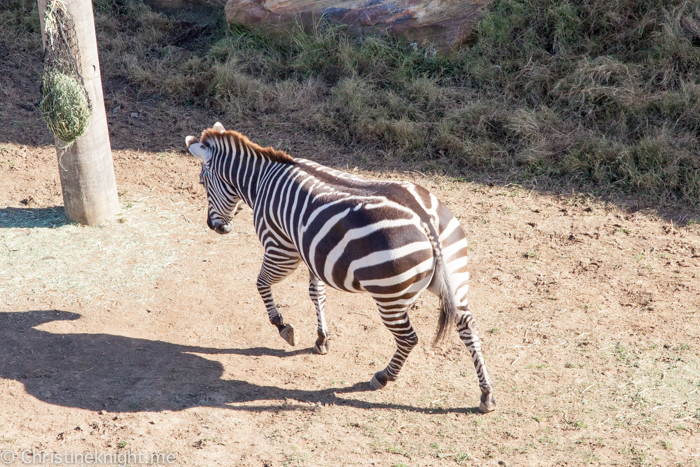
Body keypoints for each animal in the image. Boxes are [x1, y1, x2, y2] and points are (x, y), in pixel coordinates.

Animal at [183, 123, 494, 414]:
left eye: (202, 182)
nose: (215, 227)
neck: (261, 180)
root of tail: (425, 218)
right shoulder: (311, 251)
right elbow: (316, 293)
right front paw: (322, 338)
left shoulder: (282, 247)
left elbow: (261, 284)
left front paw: (283, 326)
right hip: (453, 277)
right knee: (468, 326)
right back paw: (486, 394)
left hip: (389, 295)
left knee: (408, 338)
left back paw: (383, 377)